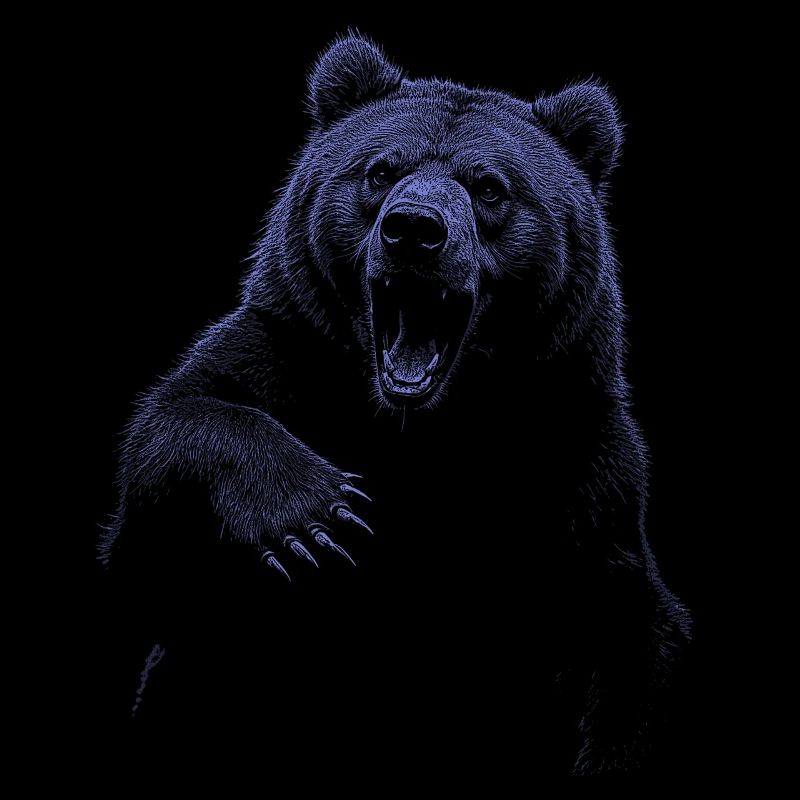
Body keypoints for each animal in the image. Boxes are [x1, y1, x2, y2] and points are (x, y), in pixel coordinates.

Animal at [99, 34, 691, 774]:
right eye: (381, 171)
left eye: (489, 186)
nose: (414, 230)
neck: (417, 427)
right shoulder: (281, 358)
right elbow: (168, 464)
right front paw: (321, 518)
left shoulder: (575, 464)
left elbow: (627, 634)